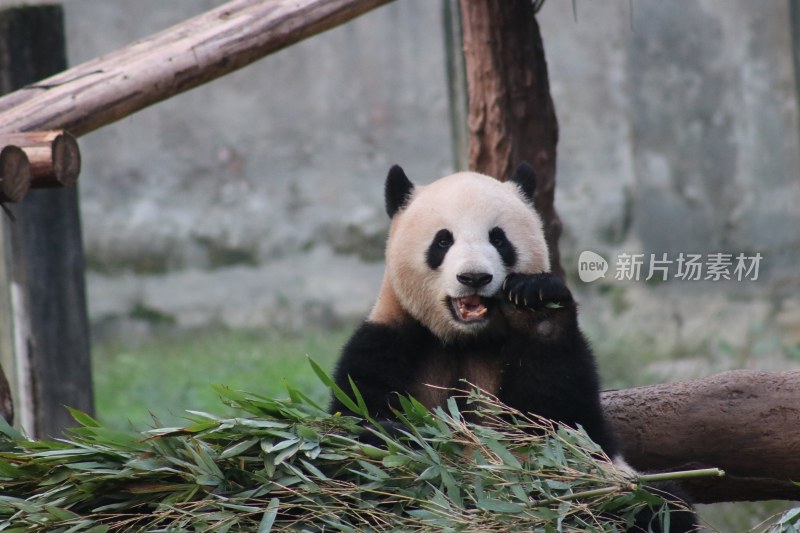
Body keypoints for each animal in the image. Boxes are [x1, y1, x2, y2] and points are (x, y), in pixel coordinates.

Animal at [332, 164, 692, 528]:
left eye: (498, 238)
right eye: (443, 240)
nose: (474, 277)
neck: (466, 340)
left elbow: (561, 418)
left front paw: (536, 306)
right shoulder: (388, 342)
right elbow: (354, 422)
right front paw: (396, 438)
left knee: (656, 506)